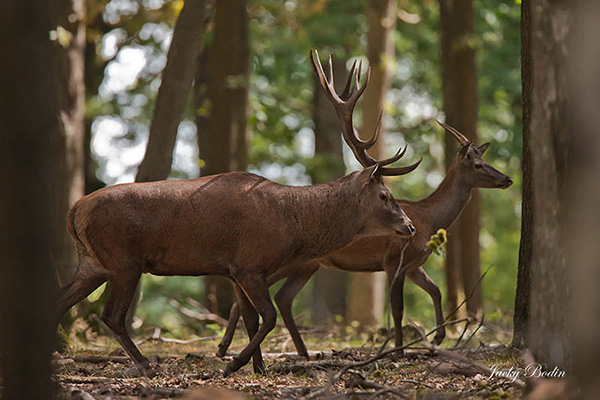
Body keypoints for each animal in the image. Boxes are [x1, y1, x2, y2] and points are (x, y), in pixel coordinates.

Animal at [55, 49, 422, 376]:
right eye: (385, 195)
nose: (410, 226)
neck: (292, 223)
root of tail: (74, 210)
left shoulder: (234, 270)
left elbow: (251, 318)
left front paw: (258, 367)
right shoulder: (249, 264)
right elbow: (268, 316)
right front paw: (233, 364)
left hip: (92, 263)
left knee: (59, 301)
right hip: (123, 259)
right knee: (112, 315)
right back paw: (145, 364)